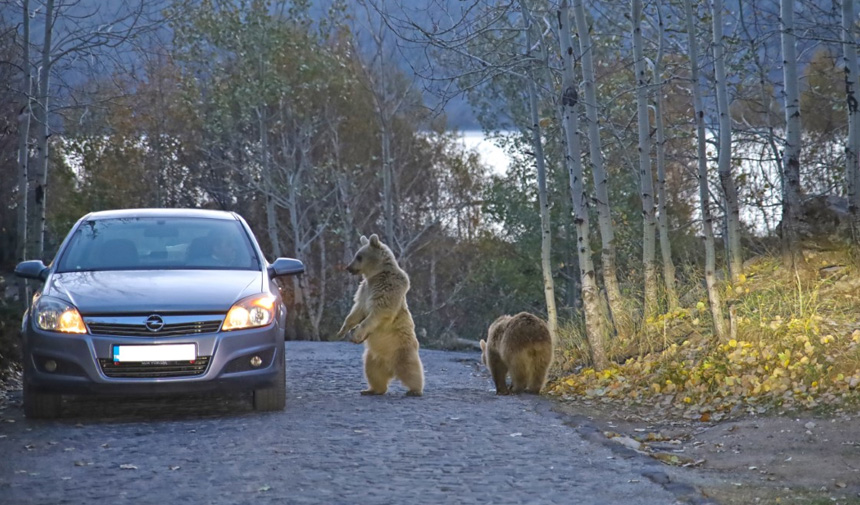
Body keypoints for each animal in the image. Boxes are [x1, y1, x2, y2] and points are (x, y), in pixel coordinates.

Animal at [334, 234, 424, 396]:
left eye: (359, 256)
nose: (348, 268)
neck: (376, 274)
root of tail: (391, 369)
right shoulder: (365, 290)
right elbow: (356, 311)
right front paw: (342, 331)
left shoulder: (387, 288)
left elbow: (378, 312)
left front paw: (356, 334)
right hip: (373, 358)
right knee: (373, 373)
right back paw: (371, 389)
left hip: (402, 349)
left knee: (411, 370)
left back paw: (415, 390)